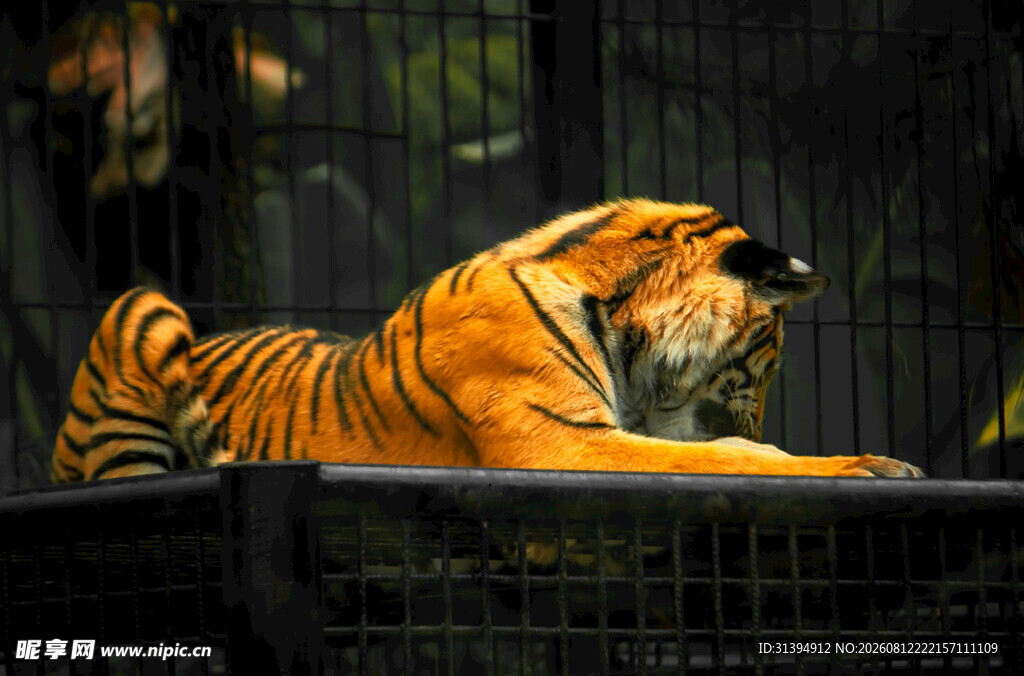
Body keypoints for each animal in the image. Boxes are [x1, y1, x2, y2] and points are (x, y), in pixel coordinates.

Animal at [51, 199, 924, 483]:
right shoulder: (561, 442)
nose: (754, 417)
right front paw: (873, 465)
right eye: (764, 361)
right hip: (144, 309)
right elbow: (721, 461)